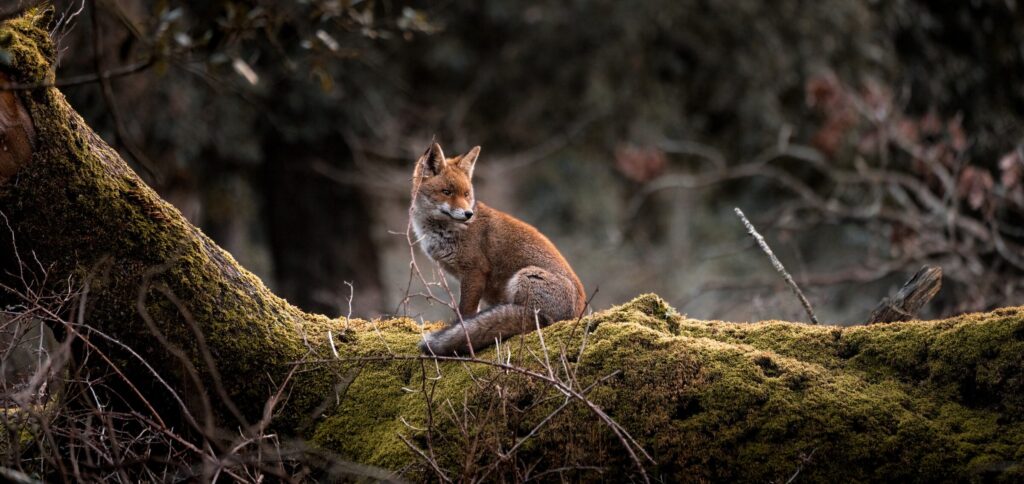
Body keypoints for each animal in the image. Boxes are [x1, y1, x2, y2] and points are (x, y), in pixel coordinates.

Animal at [411, 142, 586, 355]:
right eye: (447, 192)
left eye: (466, 194)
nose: (468, 214)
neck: (444, 231)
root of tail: (577, 314)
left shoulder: (475, 271)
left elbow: (465, 313)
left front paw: (461, 332)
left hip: (525, 277)